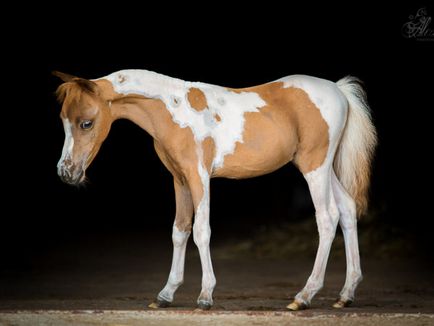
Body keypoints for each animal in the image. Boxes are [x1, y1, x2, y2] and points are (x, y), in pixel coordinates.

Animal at [53, 69, 376, 310]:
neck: (174, 109)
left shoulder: (199, 177)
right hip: (323, 167)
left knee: (327, 218)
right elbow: (180, 231)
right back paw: (346, 294)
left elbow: (201, 231)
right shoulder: (179, 179)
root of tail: (338, 90)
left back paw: (304, 296)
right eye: (64, 121)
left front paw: (205, 296)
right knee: (347, 210)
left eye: (86, 123)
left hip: (314, 167)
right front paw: (166, 294)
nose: (66, 172)